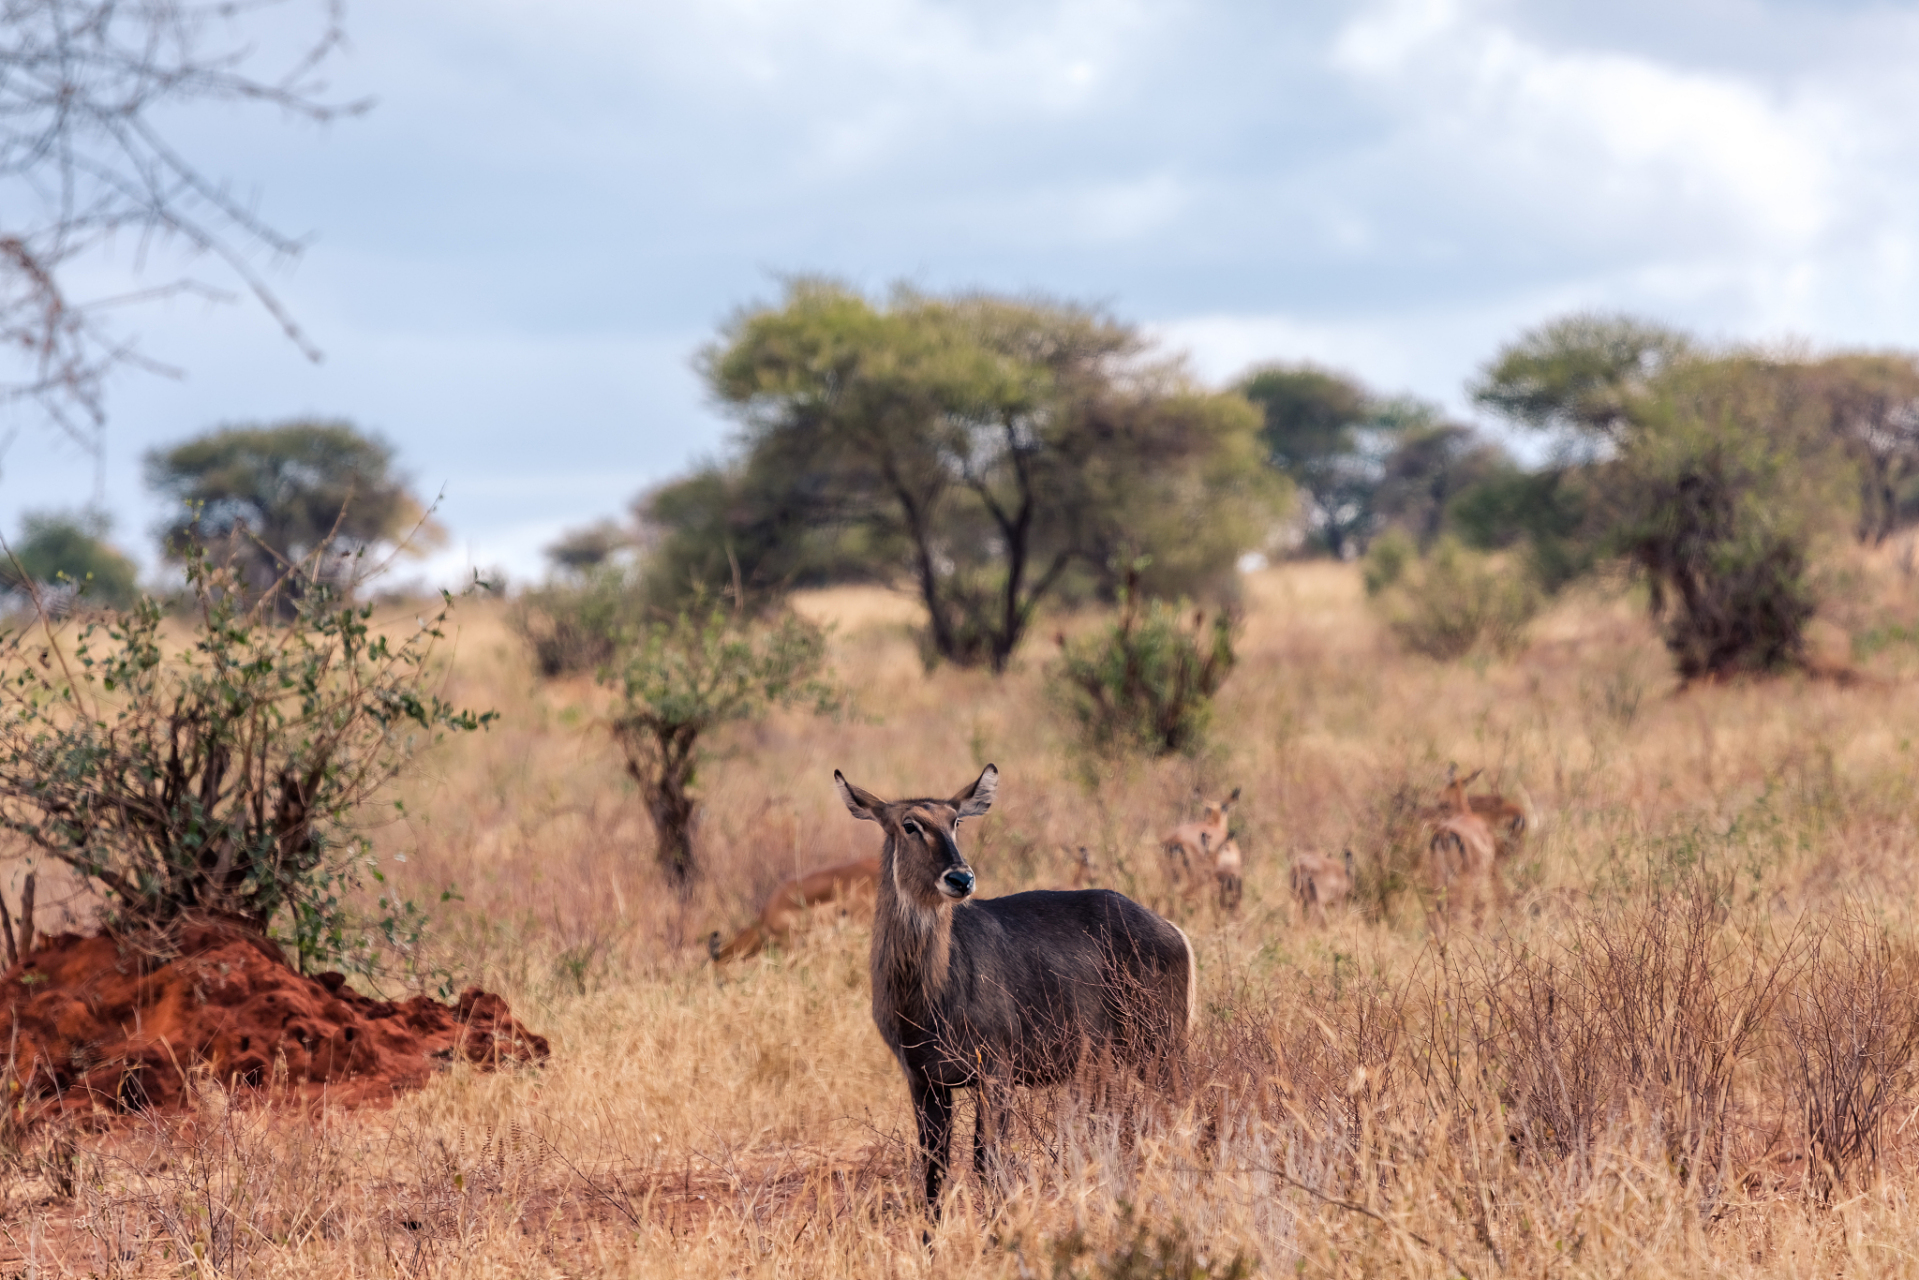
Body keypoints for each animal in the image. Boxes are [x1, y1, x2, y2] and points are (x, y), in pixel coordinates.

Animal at [836, 767, 1189, 1220]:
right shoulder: (923, 1079)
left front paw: (1000, 1229)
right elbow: (933, 1168)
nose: (961, 878)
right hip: (1110, 1061)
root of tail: (1171, 929)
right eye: (909, 824)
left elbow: (988, 1159)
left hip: (1158, 1045)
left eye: (956, 821)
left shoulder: (996, 1071)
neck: (925, 1000)